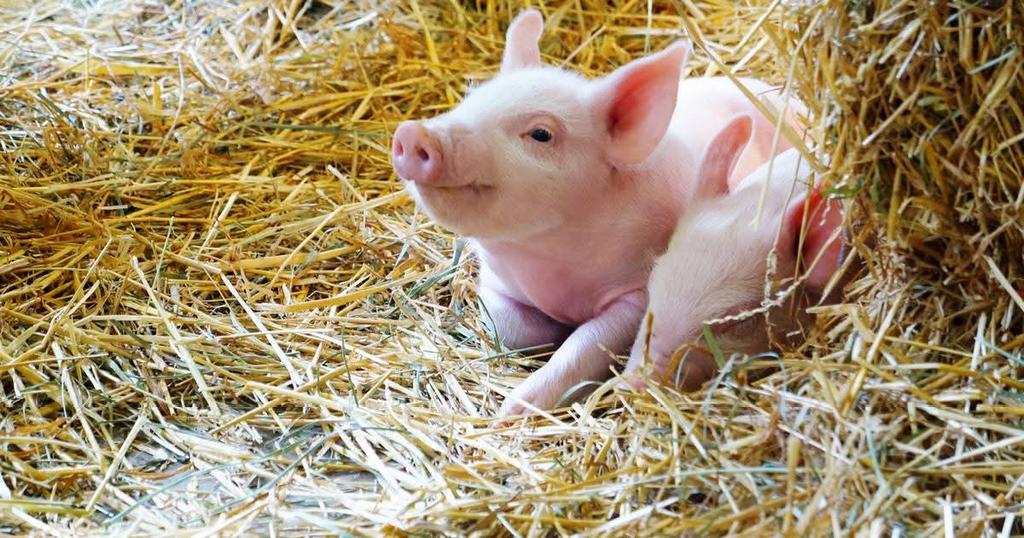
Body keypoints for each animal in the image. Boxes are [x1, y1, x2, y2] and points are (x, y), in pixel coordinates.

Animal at [390, 9, 805, 415]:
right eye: (469, 98)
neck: (549, 267)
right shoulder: (494, 283)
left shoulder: (636, 292)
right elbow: (511, 328)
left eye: (541, 134)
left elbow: (586, 343)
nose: (412, 134)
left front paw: (512, 411)